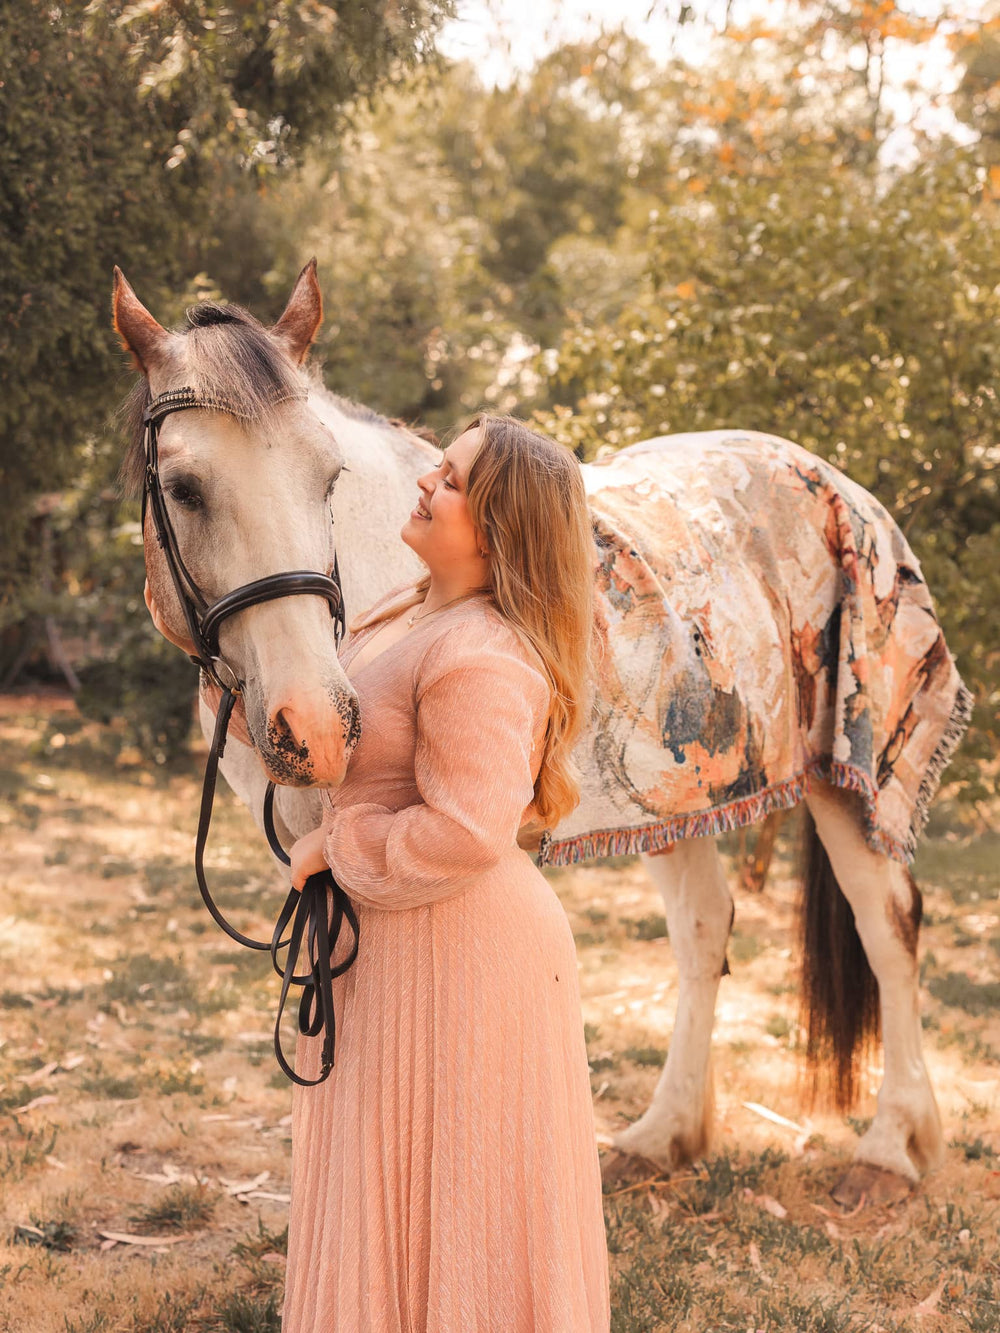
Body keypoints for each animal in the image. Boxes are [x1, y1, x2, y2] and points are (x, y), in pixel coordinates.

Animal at [111, 254, 981, 1205]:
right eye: (186, 489)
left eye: (328, 478)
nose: (316, 722)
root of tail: (832, 479)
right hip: (676, 801)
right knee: (706, 929)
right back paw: (662, 1134)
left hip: (843, 776)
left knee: (887, 924)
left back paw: (890, 1149)